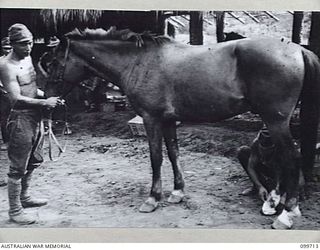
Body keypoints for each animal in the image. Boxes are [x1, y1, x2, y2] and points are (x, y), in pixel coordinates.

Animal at [45, 26, 320, 229]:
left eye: (55, 62)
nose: (48, 100)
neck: (139, 63)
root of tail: (297, 49)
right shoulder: (168, 120)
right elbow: (173, 153)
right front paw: (177, 192)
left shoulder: (152, 119)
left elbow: (156, 158)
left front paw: (152, 199)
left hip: (276, 121)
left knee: (291, 158)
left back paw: (287, 213)